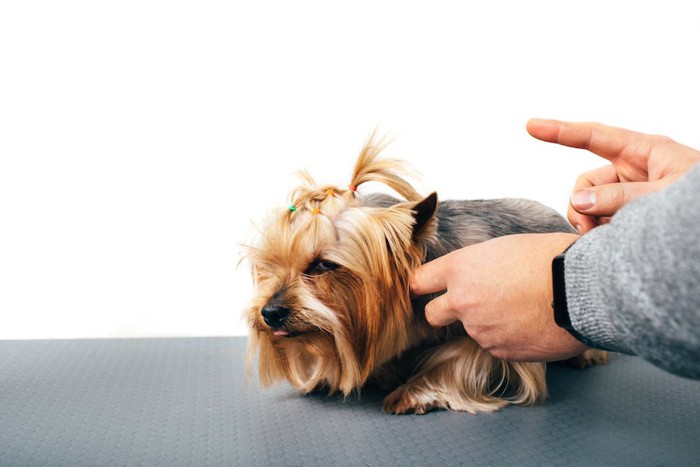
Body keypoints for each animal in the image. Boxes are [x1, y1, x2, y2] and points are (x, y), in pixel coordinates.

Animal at [246, 133, 608, 414]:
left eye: (322, 265)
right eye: (268, 264)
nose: (270, 312)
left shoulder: (486, 322)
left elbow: (459, 357)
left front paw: (413, 393)